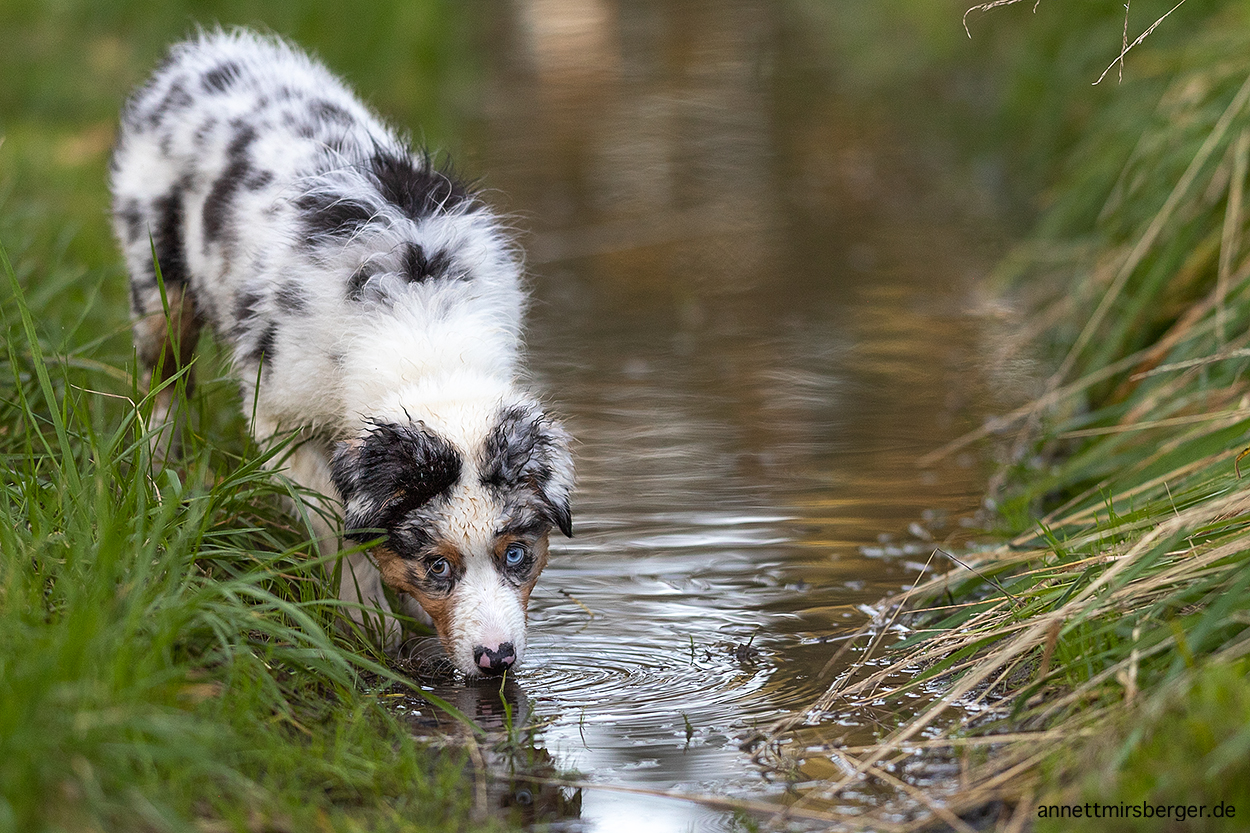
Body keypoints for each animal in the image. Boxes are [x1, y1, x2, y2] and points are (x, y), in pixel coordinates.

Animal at [108, 30, 575, 675]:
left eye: (516, 555)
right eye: (437, 565)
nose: (496, 659)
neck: (425, 334)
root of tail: (201, 52)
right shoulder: (280, 417)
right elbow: (335, 521)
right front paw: (366, 617)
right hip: (157, 277)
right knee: (163, 383)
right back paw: (157, 474)